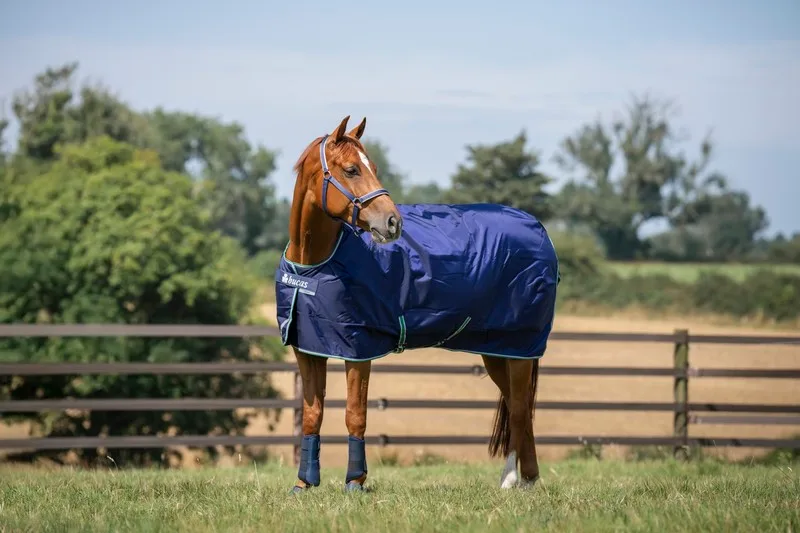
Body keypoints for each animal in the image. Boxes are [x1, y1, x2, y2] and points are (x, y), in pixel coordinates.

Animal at [275, 115, 559, 493]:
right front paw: (304, 484)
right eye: (351, 169)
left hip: (520, 345)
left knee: (519, 409)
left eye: (374, 168)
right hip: (498, 349)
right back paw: (521, 478)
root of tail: (540, 230)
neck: (313, 265)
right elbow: (312, 414)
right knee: (518, 405)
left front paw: (355, 482)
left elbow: (355, 414)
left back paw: (517, 480)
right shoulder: (308, 348)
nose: (392, 222)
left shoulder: (358, 349)